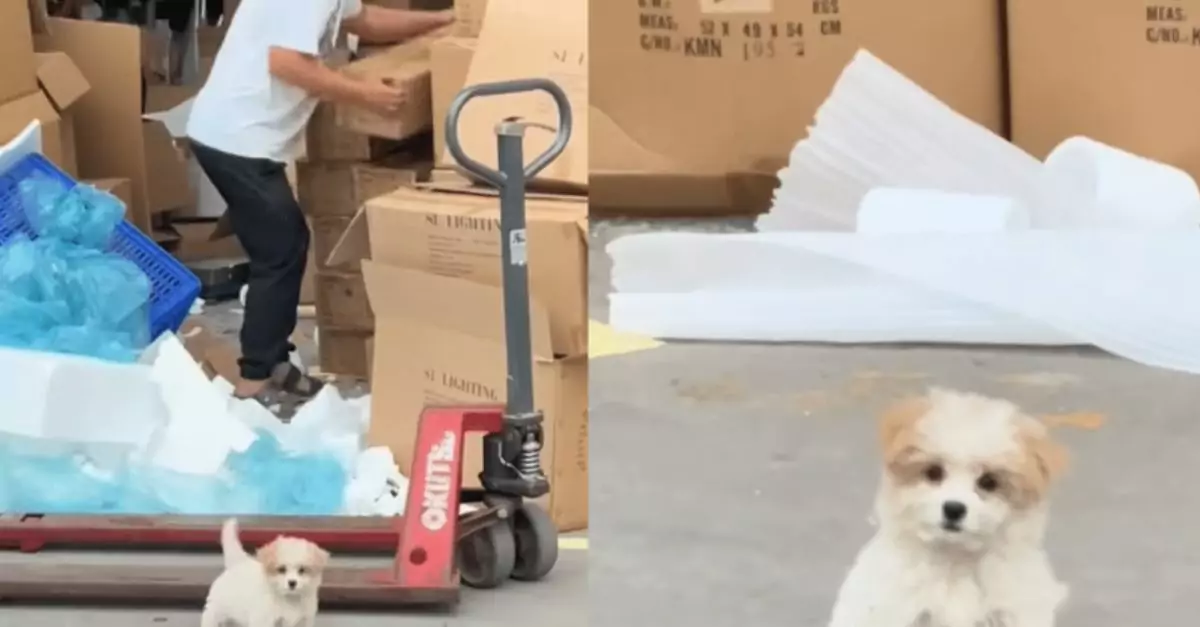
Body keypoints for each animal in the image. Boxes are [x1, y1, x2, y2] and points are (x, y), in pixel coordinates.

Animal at [201, 516, 331, 624]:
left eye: (302, 570)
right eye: (281, 569)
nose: (292, 583)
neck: (289, 598)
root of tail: (237, 562)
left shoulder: (304, 620)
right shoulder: (265, 619)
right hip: (217, 610)